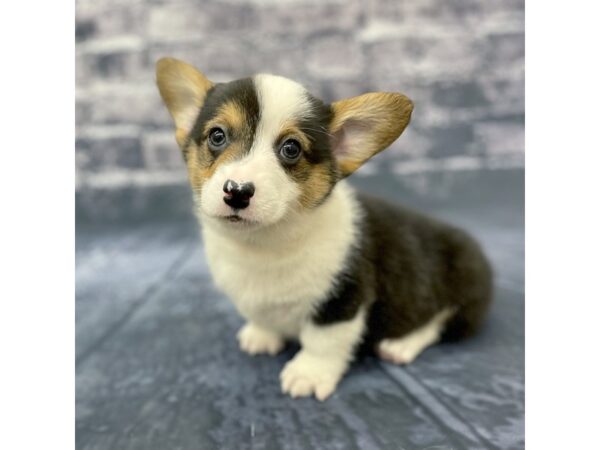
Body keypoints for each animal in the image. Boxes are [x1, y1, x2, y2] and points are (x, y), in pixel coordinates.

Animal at [155, 57, 492, 400]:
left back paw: (400, 345)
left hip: (463, 288)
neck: (263, 243)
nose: (237, 191)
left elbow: (323, 341)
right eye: (217, 136)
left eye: (291, 149)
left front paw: (308, 374)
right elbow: (262, 317)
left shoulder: (342, 299)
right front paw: (262, 335)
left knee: (439, 323)